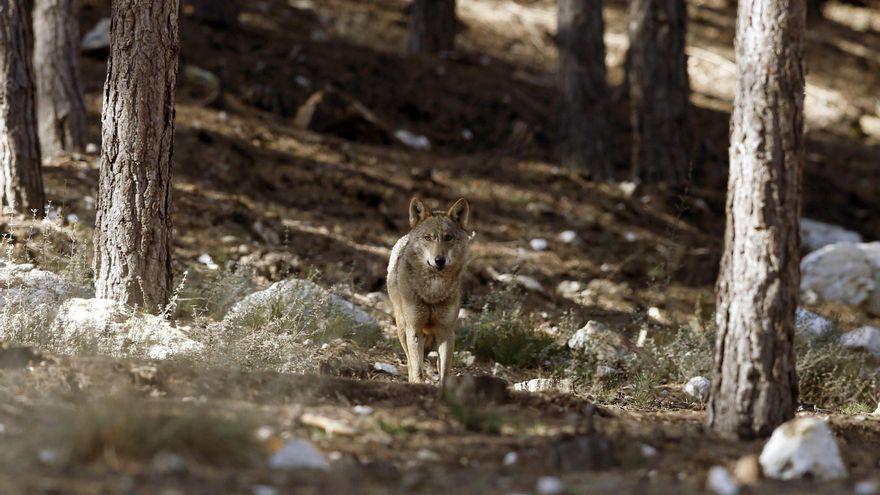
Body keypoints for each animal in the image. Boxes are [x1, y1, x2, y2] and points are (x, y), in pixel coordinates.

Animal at [387, 196, 471, 387]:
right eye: (428, 238)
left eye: (448, 237)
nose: (439, 260)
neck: (433, 291)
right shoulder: (414, 329)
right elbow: (417, 368)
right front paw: (418, 384)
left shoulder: (446, 332)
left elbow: (445, 372)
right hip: (402, 328)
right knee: (409, 362)